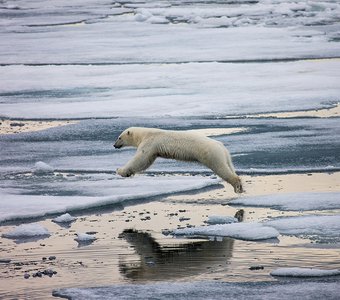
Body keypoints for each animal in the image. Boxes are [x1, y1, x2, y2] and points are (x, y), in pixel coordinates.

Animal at [113, 126, 243, 192]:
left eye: (119, 137)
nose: (114, 145)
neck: (144, 134)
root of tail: (222, 147)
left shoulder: (150, 143)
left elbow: (141, 159)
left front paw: (120, 170)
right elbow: (146, 162)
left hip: (211, 154)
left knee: (221, 168)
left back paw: (237, 186)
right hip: (223, 156)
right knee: (229, 167)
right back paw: (240, 186)